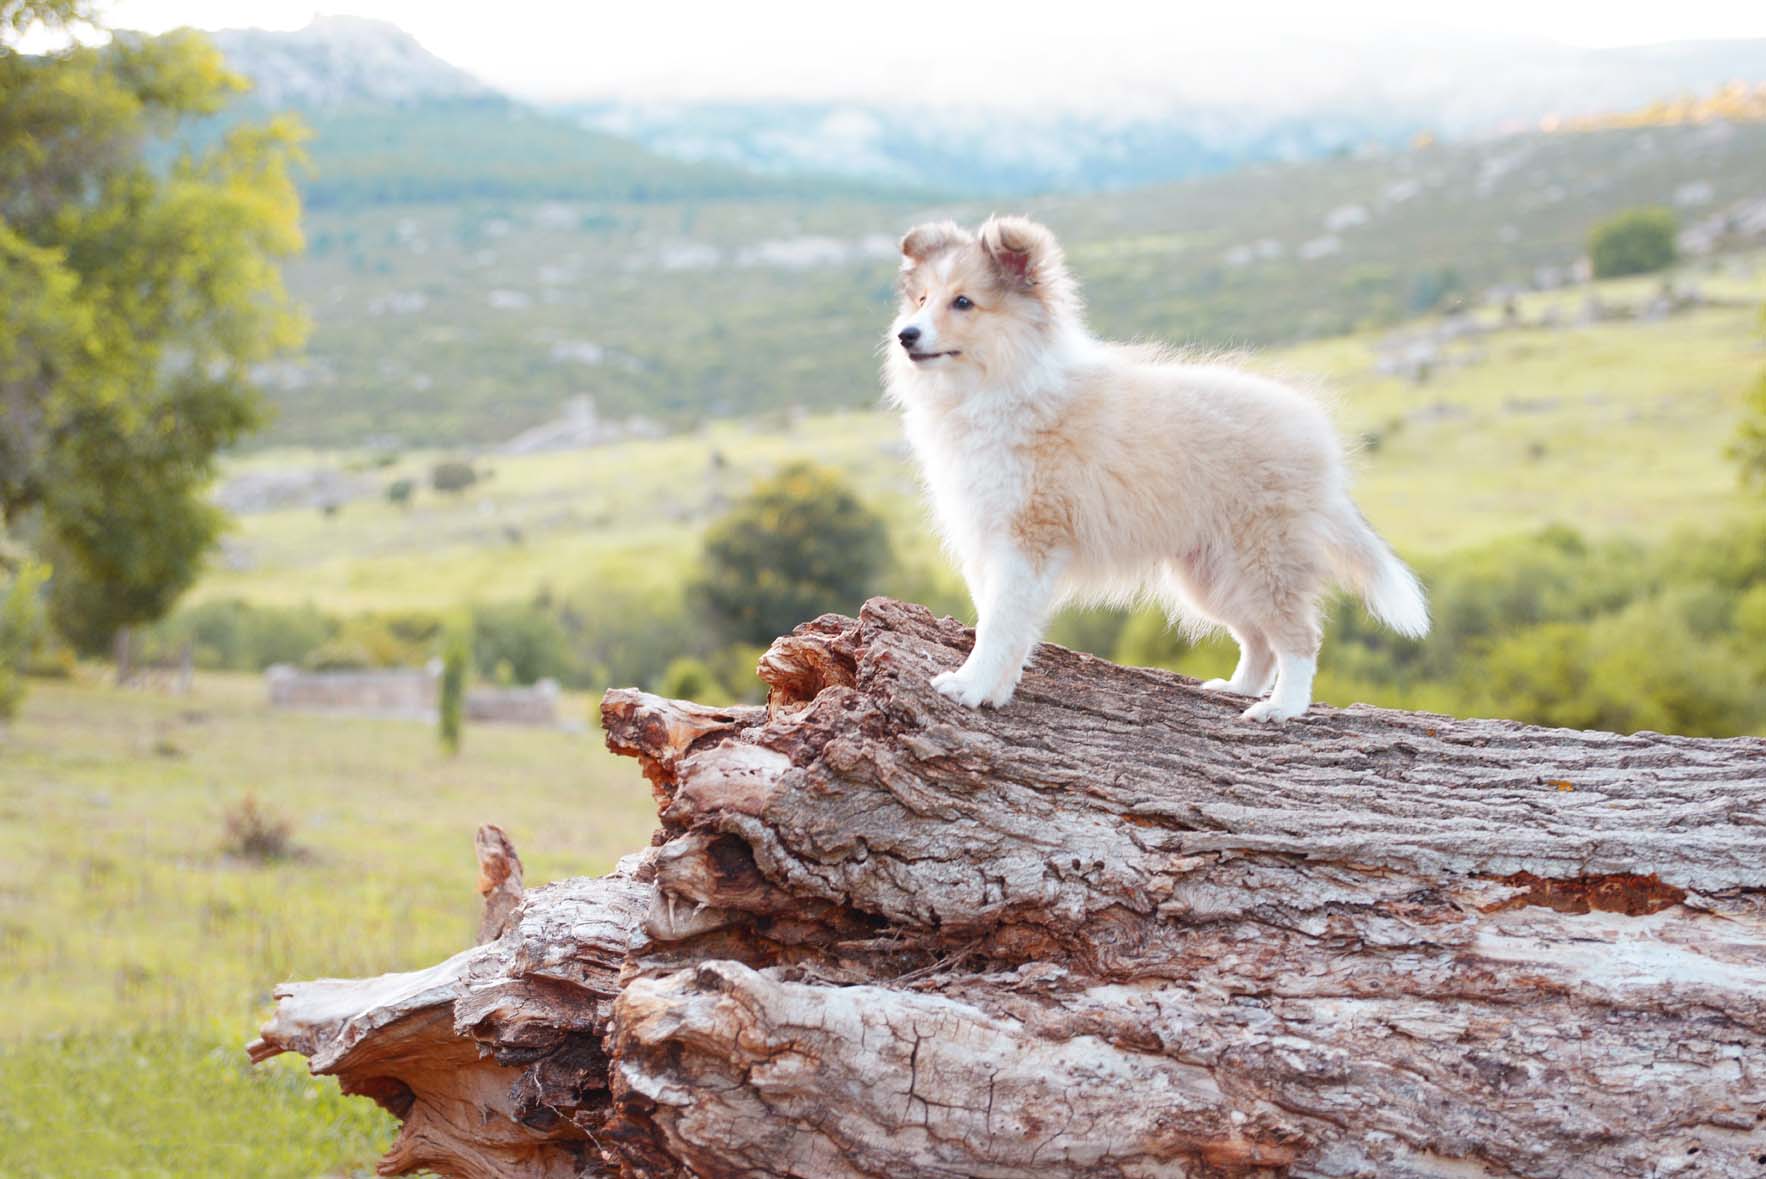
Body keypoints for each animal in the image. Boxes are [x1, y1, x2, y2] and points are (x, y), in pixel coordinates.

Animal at [875, 216, 1426, 723]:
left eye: (963, 303)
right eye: (921, 299)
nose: (906, 335)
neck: (995, 387)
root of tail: (1319, 439)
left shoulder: (1028, 537)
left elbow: (999, 624)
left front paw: (973, 688)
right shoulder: (985, 538)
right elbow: (998, 619)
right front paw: (986, 685)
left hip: (1263, 557)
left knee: (1298, 638)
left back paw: (1282, 708)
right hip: (1212, 573)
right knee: (1258, 639)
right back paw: (1238, 688)